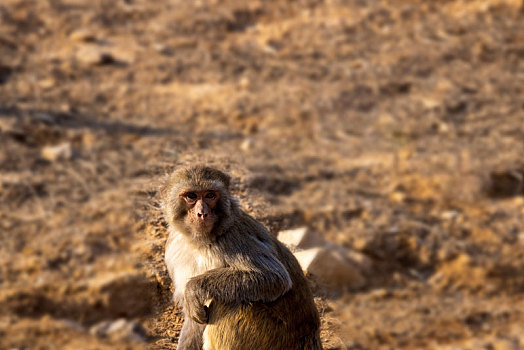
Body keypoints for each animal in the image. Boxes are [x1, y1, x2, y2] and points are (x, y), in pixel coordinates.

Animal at [160, 166, 322, 350]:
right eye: (191, 196)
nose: (202, 213)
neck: (199, 241)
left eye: (210, 195)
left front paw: (194, 289)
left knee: (228, 302)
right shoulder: (173, 250)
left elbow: (275, 277)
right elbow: (194, 322)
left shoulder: (233, 238)